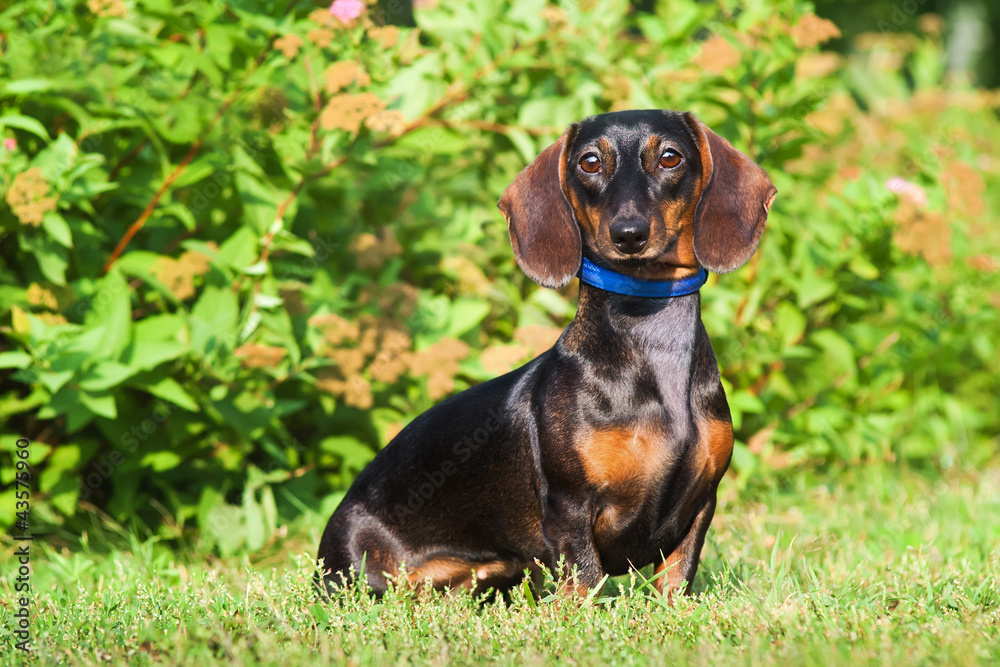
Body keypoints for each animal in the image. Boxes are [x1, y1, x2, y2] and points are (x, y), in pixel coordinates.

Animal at [318, 109, 772, 600]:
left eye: (670, 157)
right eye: (590, 162)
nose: (629, 234)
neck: (652, 339)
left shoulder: (699, 504)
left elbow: (675, 584)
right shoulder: (570, 507)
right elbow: (584, 583)